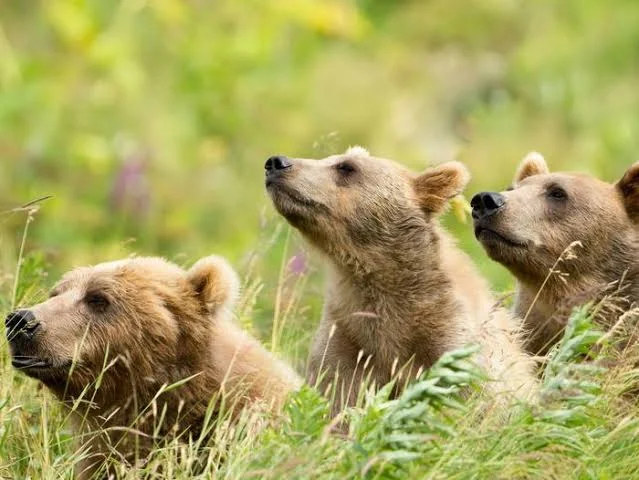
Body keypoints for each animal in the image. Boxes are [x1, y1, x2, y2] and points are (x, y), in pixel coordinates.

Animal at [262, 147, 536, 412]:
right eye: (332, 159)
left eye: (346, 167)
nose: (277, 163)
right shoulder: (348, 335)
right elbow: (337, 394)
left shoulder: (449, 336)